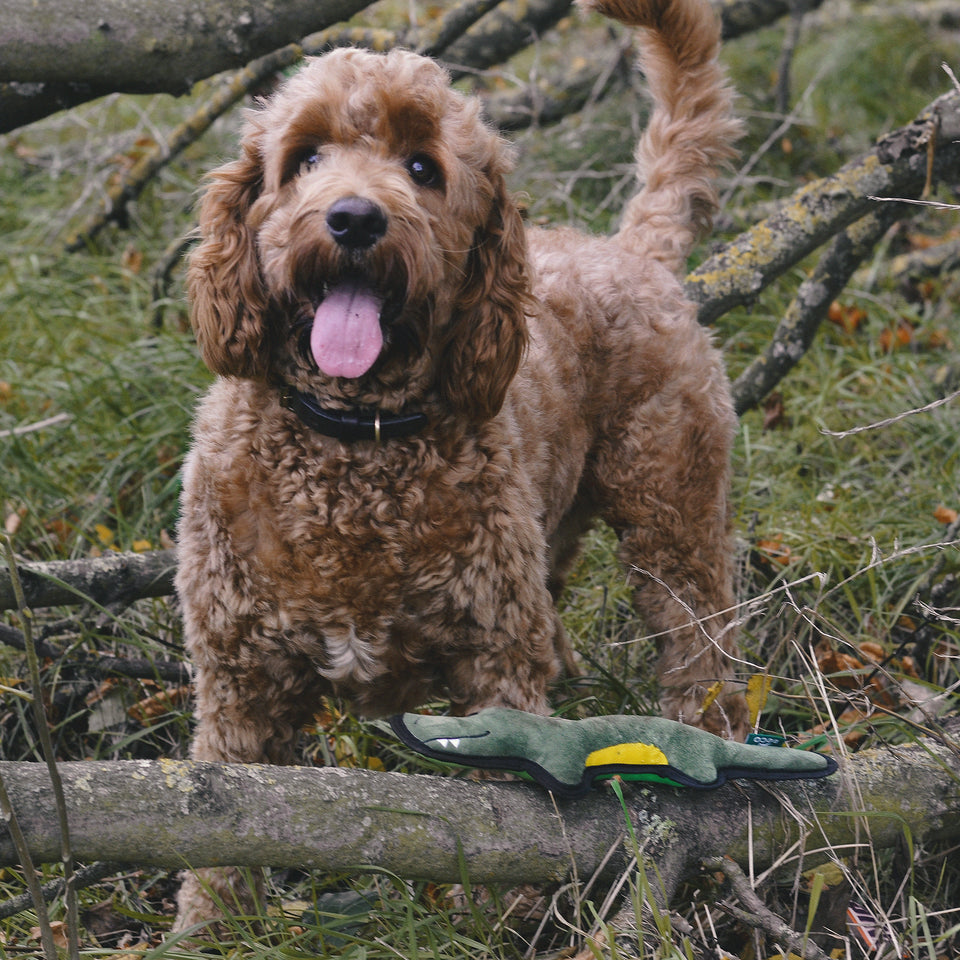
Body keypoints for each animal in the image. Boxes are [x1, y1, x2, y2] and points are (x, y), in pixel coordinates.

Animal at [172, 0, 748, 932]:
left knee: (702, 651)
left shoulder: (495, 663)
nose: (355, 219)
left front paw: (507, 913)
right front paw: (212, 930)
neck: (354, 443)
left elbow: (510, 807)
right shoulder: (239, 679)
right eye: (305, 158)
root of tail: (631, 251)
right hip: (550, 541)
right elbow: (223, 818)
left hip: (672, 518)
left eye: (423, 168)